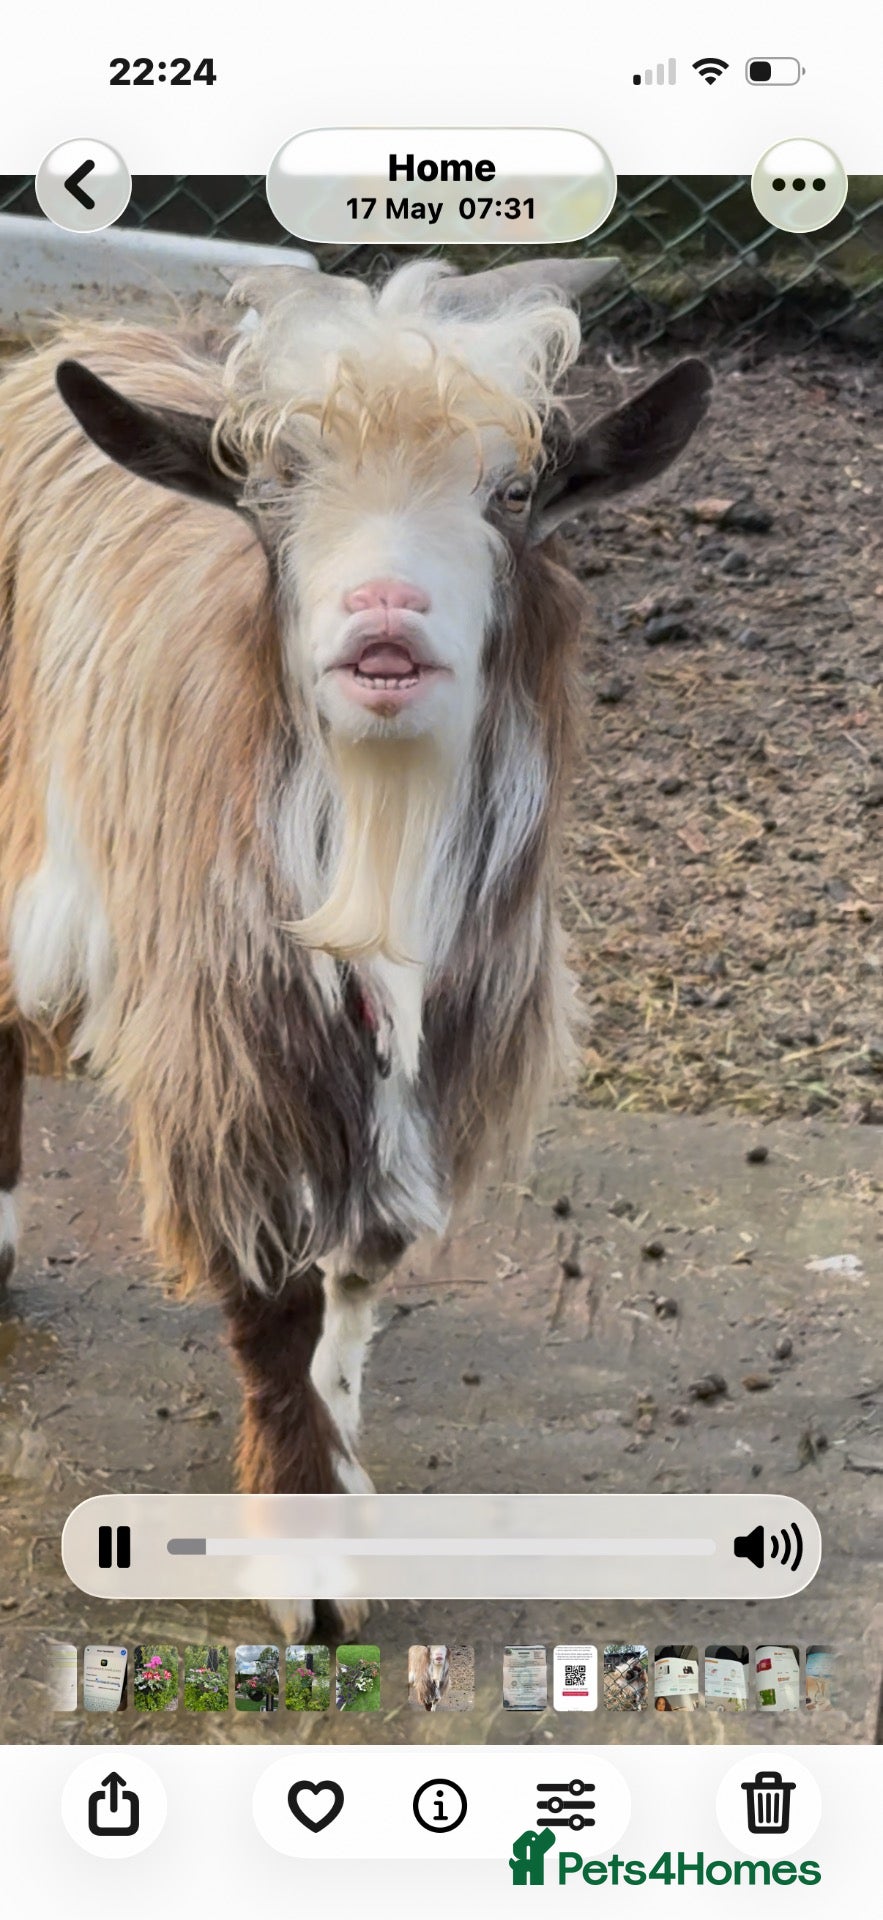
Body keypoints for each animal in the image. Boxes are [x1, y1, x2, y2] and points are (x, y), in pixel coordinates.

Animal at [0, 258, 710, 1629]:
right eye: (271, 493)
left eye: (514, 491)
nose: (384, 612)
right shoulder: (230, 1039)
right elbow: (271, 1299)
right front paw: (304, 1558)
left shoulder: (448, 1034)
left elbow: (361, 1266)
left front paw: (337, 1452)